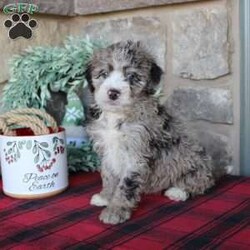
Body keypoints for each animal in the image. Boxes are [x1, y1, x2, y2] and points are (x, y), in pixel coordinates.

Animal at [84, 41, 230, 225]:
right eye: (103, 73)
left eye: (132, 76)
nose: (113, 92)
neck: (118, 115)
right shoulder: (107, 150)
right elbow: (108, 175)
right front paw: (105, 197)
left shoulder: (136, 154)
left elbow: (126, 186)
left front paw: (115, 210)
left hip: (197, 163)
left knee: (201, 182)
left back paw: (178, 191)